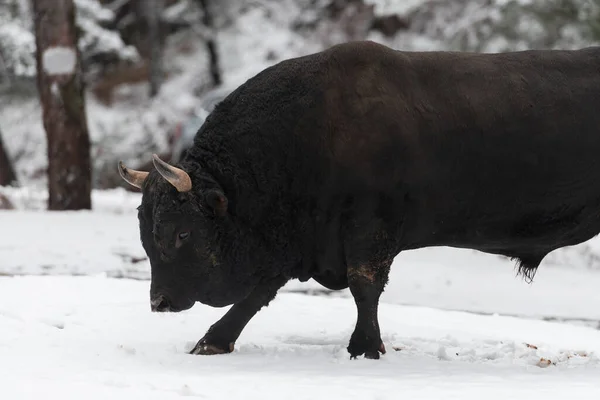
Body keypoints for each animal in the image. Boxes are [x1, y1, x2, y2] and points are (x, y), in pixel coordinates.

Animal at [119, 41, 600, 360]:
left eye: (181, 232)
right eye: (145, 231)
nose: (159, 302)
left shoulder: (371, 230)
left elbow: (363, 286)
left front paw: (366, 346)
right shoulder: (297, 241)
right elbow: (259, 293)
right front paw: (214, 339)